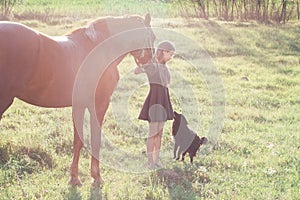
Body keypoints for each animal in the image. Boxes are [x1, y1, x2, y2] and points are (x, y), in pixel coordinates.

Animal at [0, 13, 155, 186]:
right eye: (152, 37)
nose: (151, 66)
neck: (98, 48)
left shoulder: (79, 105)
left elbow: (78, 140)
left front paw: (74, 176)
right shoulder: (99, 105)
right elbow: (95, 139)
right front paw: (96, 176)